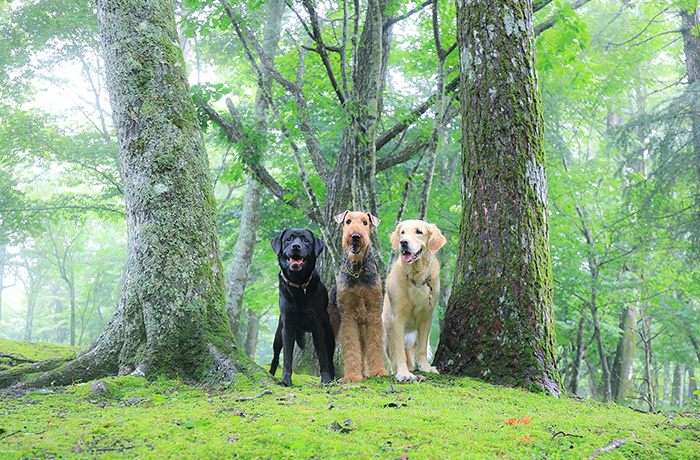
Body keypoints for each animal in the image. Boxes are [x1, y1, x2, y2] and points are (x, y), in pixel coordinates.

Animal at [270, 228, 334, 386]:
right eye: (288, 239)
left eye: (306, 240)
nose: (296, 246)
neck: (298, 284)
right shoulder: (287, 328)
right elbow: (287, 358)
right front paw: (285, 380)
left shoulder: (318, 328)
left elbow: (323, 357)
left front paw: (326, 379)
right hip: (278, 335)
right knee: (275, 357)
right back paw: (271, 374)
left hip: (330, 335)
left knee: (330, 357)